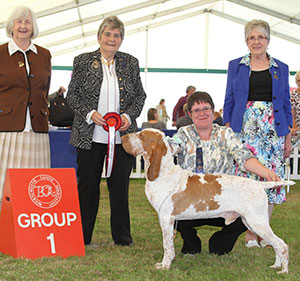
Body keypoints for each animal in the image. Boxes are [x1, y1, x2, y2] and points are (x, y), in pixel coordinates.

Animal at [120, 128, 294, 272]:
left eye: (141, 135)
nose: (122, 137)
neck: (164, 172)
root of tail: (259, 184)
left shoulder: (166, 219)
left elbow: (167, 246)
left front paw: (165, 266)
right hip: (250, 222)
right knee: (276, 244)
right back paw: (276, 265)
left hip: (257, 222)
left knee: (282, 245)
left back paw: (284, 270)